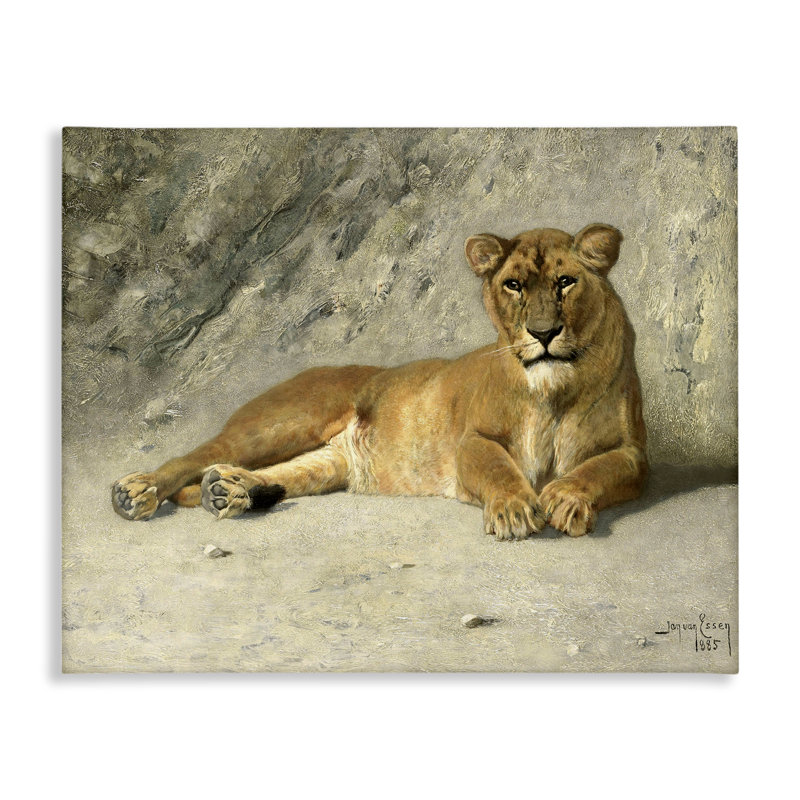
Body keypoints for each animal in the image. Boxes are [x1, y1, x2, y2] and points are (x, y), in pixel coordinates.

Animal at [112, 223, 647, 539]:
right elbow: (498, 466)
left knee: (276, 475)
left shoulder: (634, 453)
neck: (554, 390)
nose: (543, 333)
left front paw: (566, 498)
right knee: (197, 456)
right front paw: (516, 509)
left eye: (565, 282)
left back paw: (229, 492)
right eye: (513, 285)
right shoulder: (472, 440)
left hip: (328, 463)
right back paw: (136, 492)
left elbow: (598, 469)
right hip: (280, 423)